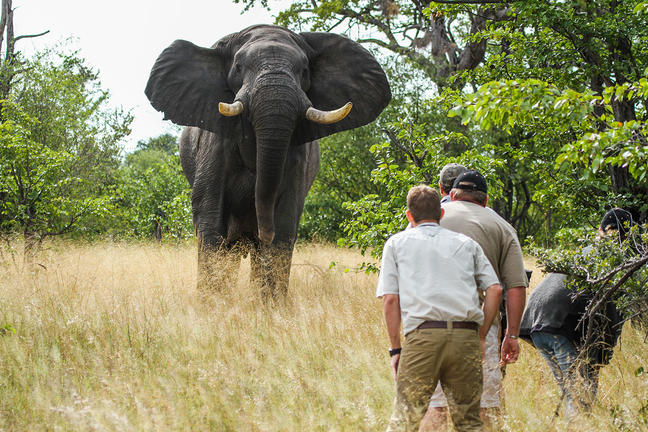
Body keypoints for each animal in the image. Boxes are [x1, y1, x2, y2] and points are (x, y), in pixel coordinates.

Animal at [146, 23, 390, 296]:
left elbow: (284, 222)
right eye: (238, 66)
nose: (263, 233)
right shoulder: (214, 147)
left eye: (304, 70)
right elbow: (211, 218)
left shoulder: (297, 156)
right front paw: (213, 303)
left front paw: (269, 304)